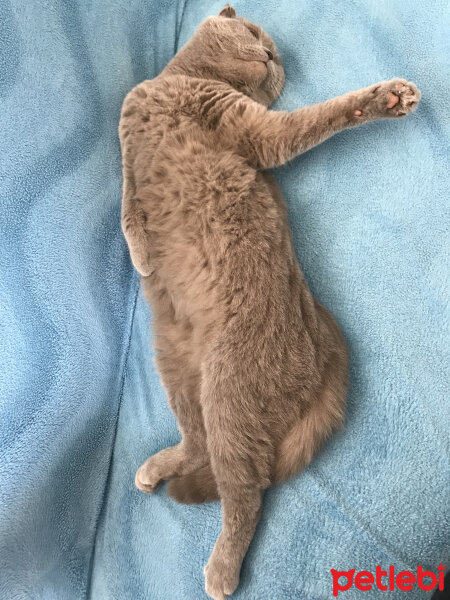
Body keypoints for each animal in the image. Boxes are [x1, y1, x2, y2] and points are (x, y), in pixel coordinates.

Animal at [118, 5, 420, 600]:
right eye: (258, 35)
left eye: (275, 55)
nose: (269, 55)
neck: (175, 82)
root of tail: (326, 340)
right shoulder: (126, 146)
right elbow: (125, 207)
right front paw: (141, 257)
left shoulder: (251, 130)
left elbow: (314, 119)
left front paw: (385, 99)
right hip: (178, 371)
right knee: (197, 445)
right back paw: (157, 467)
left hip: (230, 389)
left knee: (246, 487)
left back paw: (221, 569)